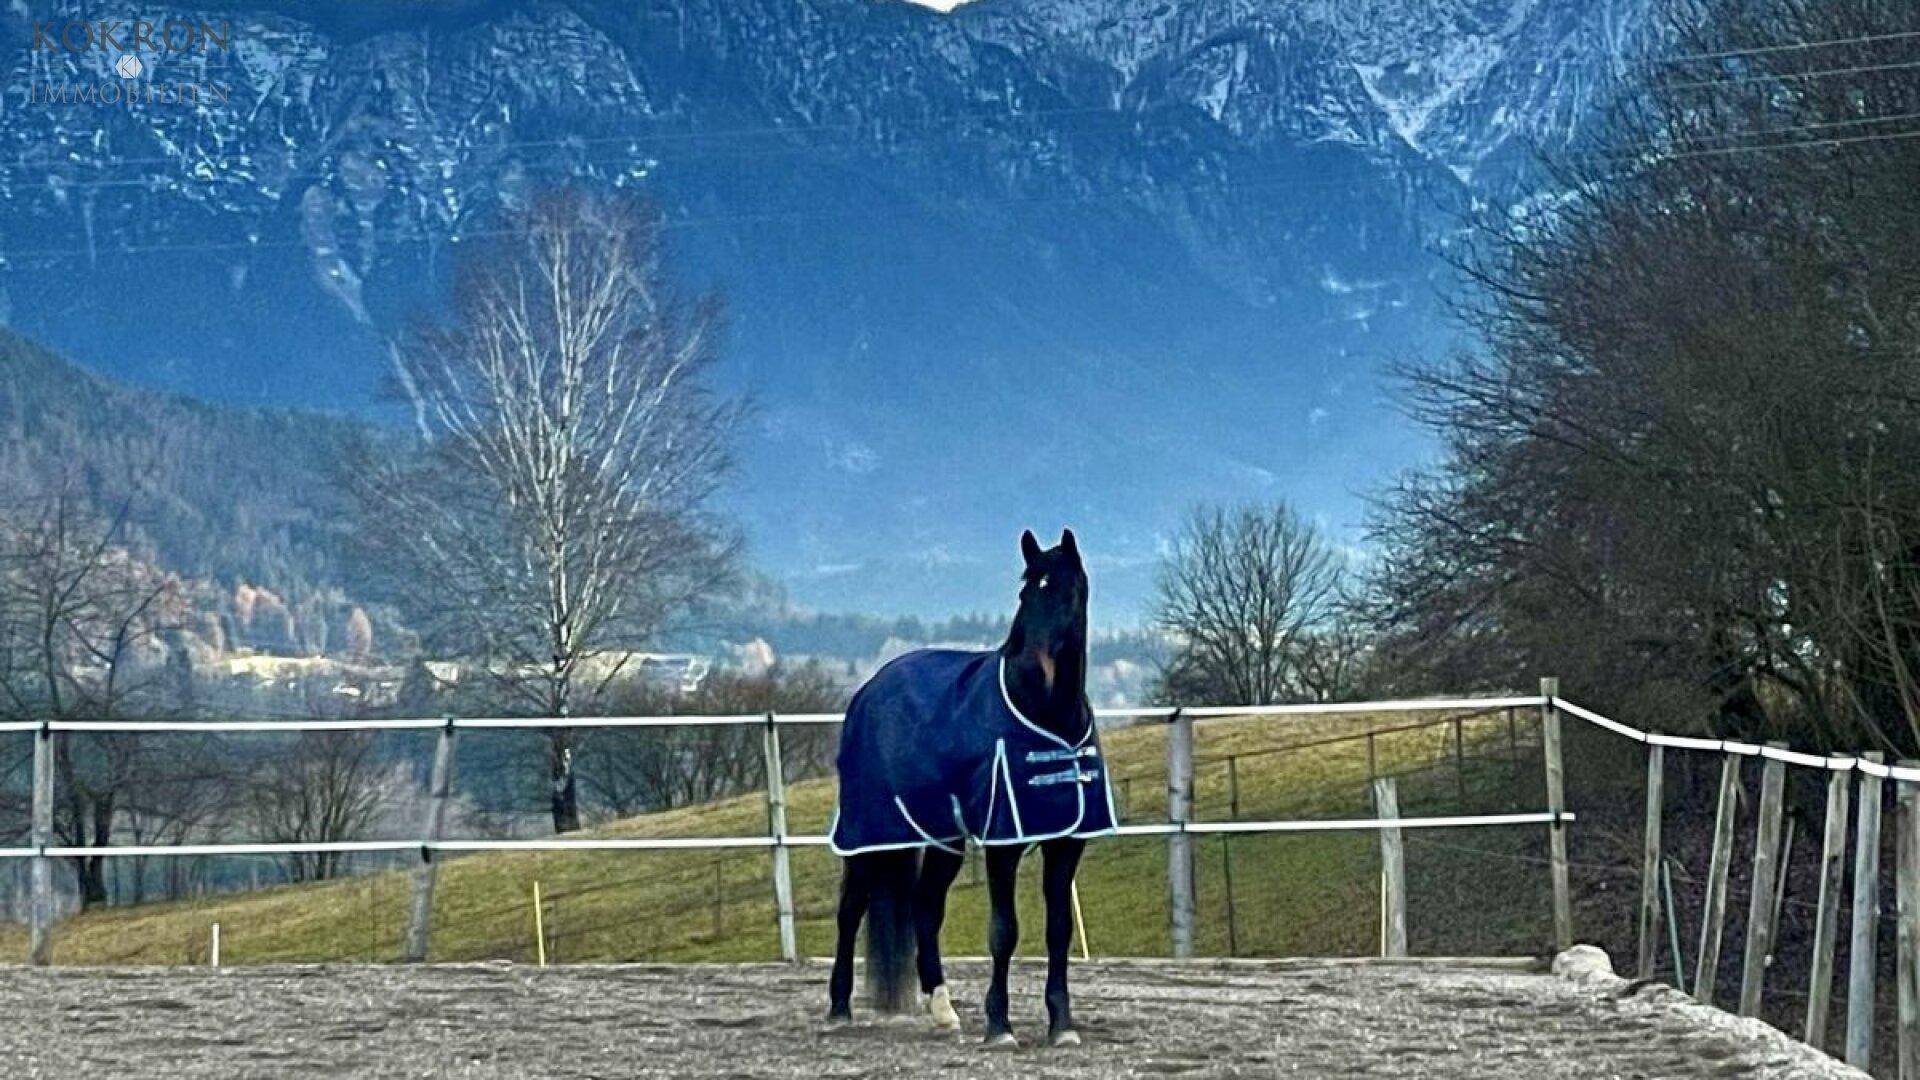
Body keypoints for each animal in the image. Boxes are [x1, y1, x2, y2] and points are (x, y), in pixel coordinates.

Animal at [826, 528, 1113, 1048]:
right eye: (1025, 593)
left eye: (1064, 592)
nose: (1033, 668)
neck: (1046, 716)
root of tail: (870, 689)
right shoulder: (1004, 840)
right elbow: (1004, 930)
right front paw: (1000, 1027)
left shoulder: (1067, 841)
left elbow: (1058, 930)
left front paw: (1062, 1025)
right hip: (870, 832)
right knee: (851, 909)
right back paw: (839, 1009)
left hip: (942, 836)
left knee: (924, 908)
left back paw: (944, 1010)